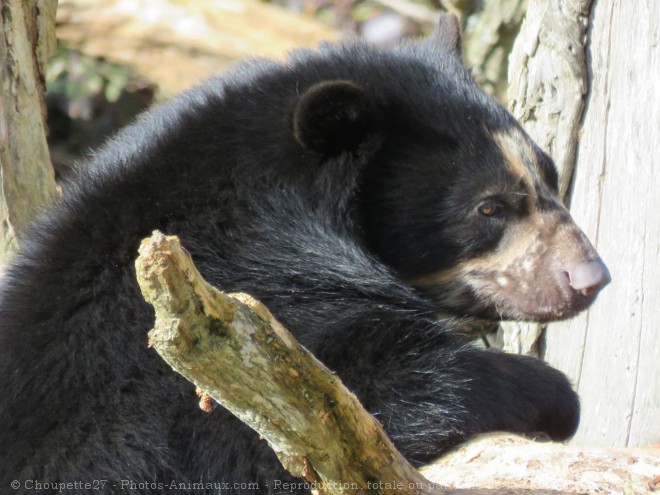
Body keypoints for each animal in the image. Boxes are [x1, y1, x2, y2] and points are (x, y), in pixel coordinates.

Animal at [0, 13, 608, 494]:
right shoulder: (249, 310)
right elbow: (356, 397)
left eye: (550, 177)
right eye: (489, 208)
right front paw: (553, 393)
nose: (591, 278)